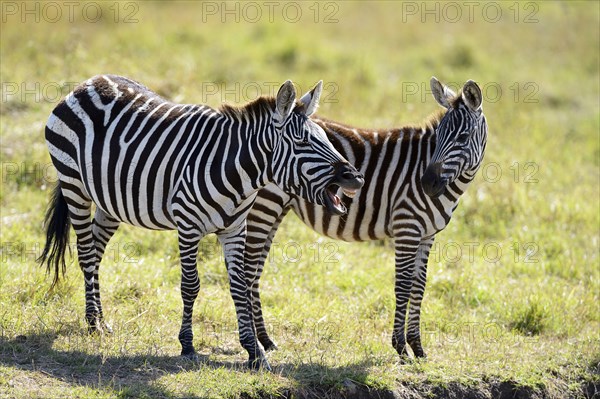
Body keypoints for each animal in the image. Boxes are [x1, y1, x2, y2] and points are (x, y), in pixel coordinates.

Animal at [38, 73, 366, 370]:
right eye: (303, 142)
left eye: (326, 139)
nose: (357, 178)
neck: (239, 175)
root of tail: (91, 82)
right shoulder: (188, 226)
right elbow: (190, 285)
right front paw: (187, 344)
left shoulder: (235, 230)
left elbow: (240, 286)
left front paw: (255, 352)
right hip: (74, 184)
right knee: (86, 253)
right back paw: (93, 324)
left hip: (110, 202)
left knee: (95, 250)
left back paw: (100, 319)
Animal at [244, 78, 488, 362]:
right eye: (439, 136)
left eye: (463, 137)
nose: (427, 183)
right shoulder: (406, 227)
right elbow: (403, 284)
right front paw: (401, 348)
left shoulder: (427, 234)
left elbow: (419, 286)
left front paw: (417, 347)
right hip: (265, 206)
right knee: (248, 270)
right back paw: (258, 343)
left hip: (273, 210)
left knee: (255, 270)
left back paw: (266, 340)